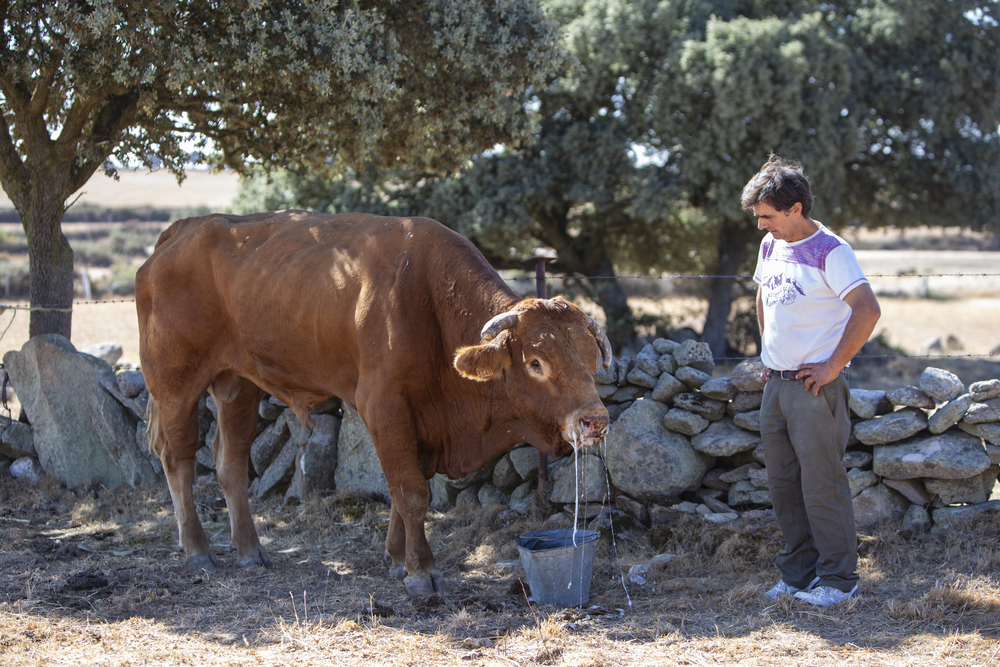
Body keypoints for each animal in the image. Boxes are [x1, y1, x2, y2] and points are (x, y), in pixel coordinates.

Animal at [137, 210, 612, 596]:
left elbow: (406, 488)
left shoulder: (419, 424)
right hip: (176, 382)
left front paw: (397, 559)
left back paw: (250, 551)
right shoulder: (384, 406)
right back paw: (198, 551)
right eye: (536, 362)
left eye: (591, 359)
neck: (429, 300)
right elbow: (411, 491)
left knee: (230, 464)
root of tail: (183, 230)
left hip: (238, 383)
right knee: (177, 458)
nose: (594, 420)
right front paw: (421, 572)